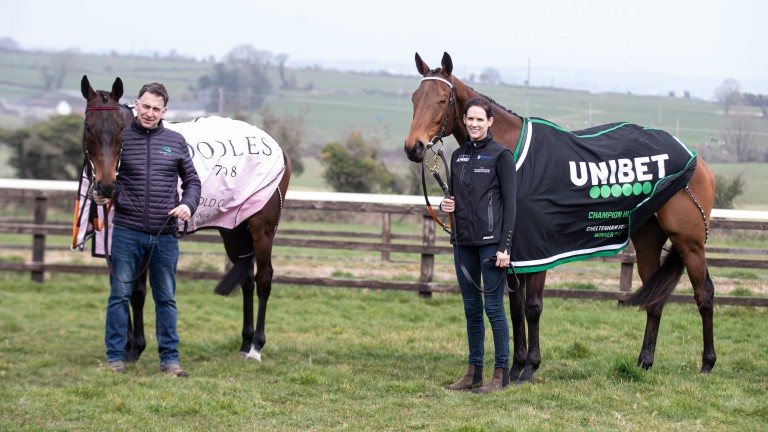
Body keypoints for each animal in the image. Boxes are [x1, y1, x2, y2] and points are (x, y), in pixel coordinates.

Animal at [80, 75, 292, 364]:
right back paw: (244, 342)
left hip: (262, 230)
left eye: (120, 129)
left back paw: (256, 347)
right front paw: (125, 346)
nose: (106, 186)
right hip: (234, 229)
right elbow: (121, 286)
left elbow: (137, 292)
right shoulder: (115, 238)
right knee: (247, 279)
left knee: (264, 279)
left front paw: (136, 347)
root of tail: (279, 150)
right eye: (88, 127)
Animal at [404, 52, 716, 384]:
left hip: (690, 241)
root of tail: (697, 160)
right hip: (647, 239)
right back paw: (644, 361)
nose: (414, 147)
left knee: (704, 293)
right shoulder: (513, 252)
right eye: (414, 98)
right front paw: (515, 367)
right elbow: (515, 308)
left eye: (441, 99)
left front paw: (530, 367)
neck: (512, 156)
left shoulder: (540, 249)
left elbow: (532, 307)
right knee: (655, 298)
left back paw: (707, 363)